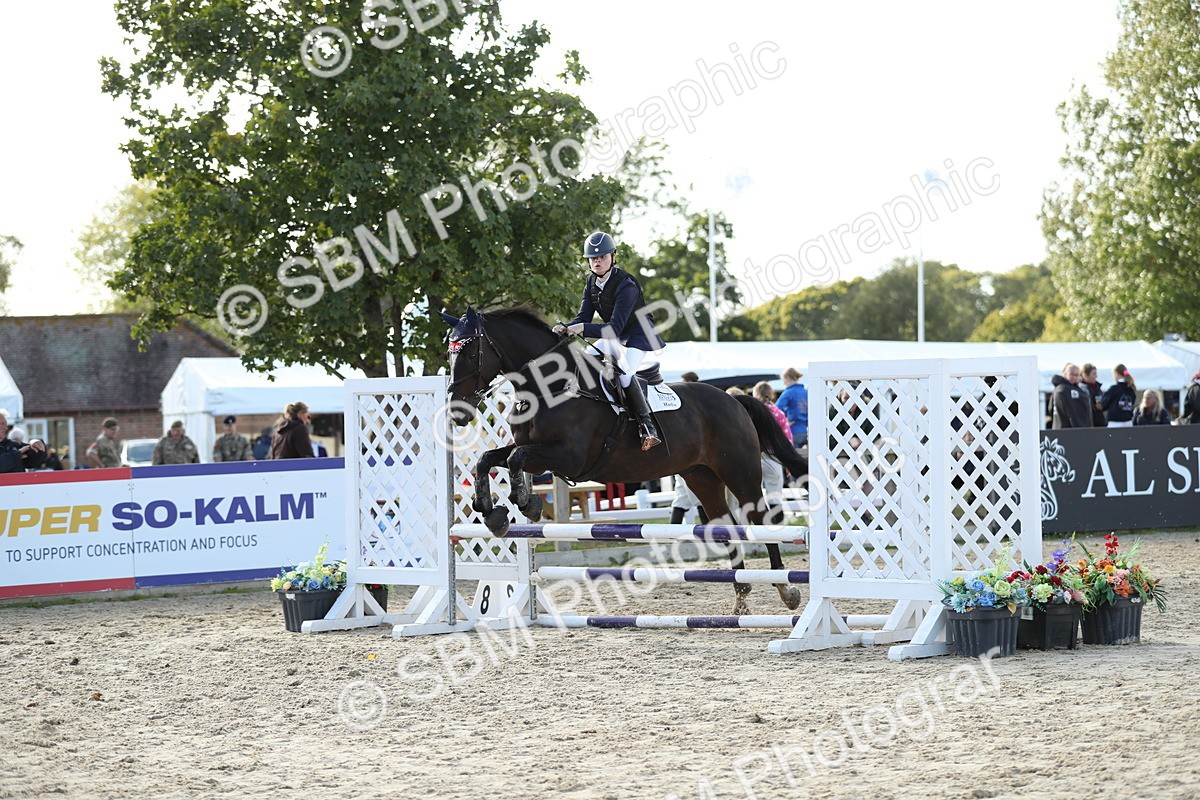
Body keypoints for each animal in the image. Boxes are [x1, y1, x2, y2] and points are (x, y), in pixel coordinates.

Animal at [438, 305, 809, 614]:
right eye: (450, 351)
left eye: (469, 350)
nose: (456, 411)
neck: (550, 387)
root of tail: (734, 399)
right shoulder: (536, 454)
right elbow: (487, 459)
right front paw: (493, 513)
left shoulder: (566, 457)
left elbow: (515, 458)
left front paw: (523, 504)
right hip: (701, 476)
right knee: (726, 524)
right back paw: (741, 596)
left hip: (739, 471)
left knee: (760, 518)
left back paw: (786, 590)